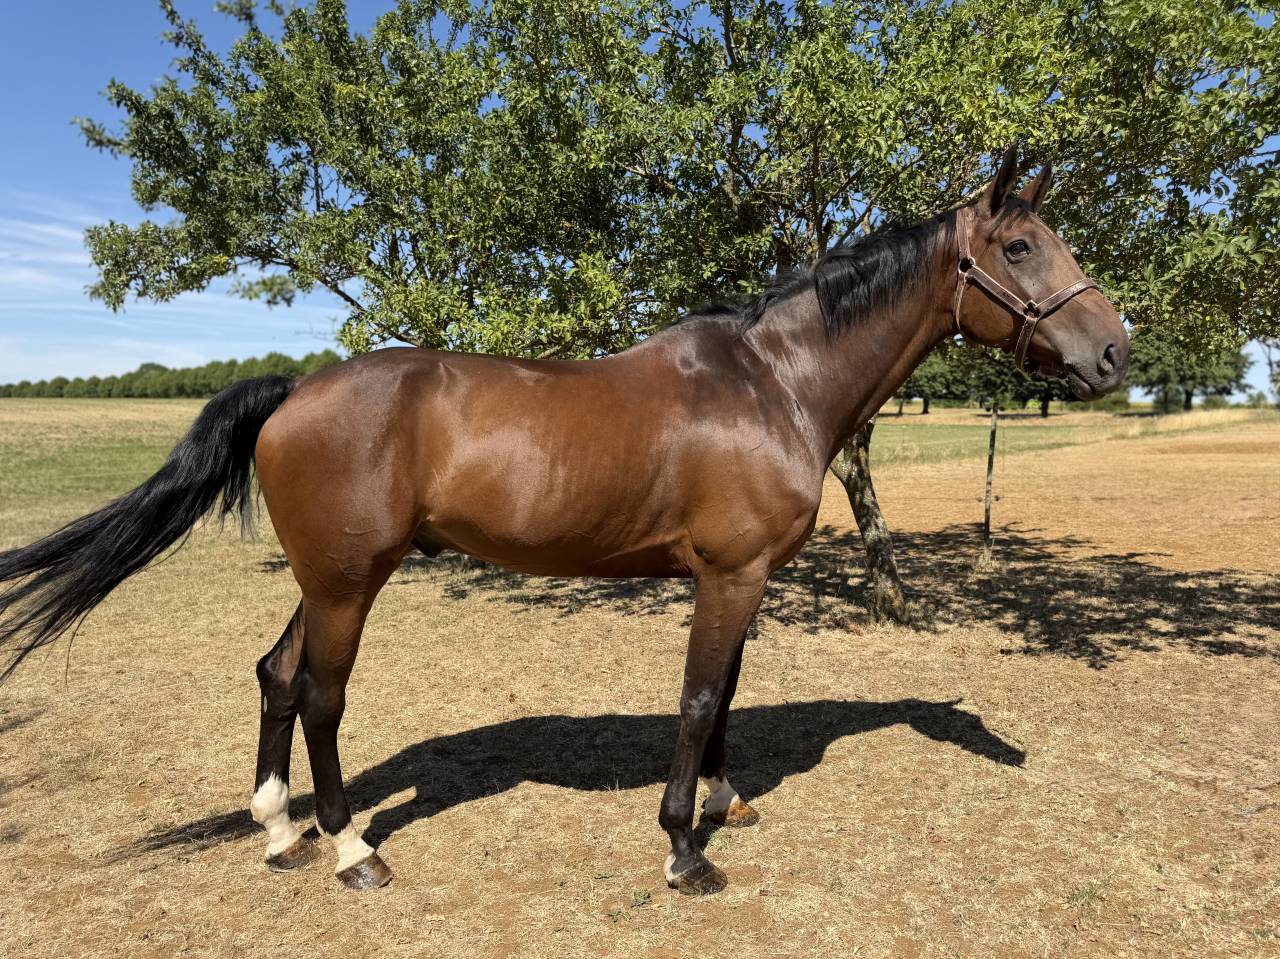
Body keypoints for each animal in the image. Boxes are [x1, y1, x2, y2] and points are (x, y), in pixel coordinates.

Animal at [0, 144, 1128, 895]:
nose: (1114, 350)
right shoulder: (729, 573)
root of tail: (292, 390)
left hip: (328, 576)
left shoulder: (743, 576)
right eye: (1019, 245)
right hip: (348, 581)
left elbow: (726, 695)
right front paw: (684, 848)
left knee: (277, 676)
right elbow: (696, 698)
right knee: (320, 694)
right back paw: (352, 847)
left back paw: (280, 831)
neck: (772, 382)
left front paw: (725, 802)